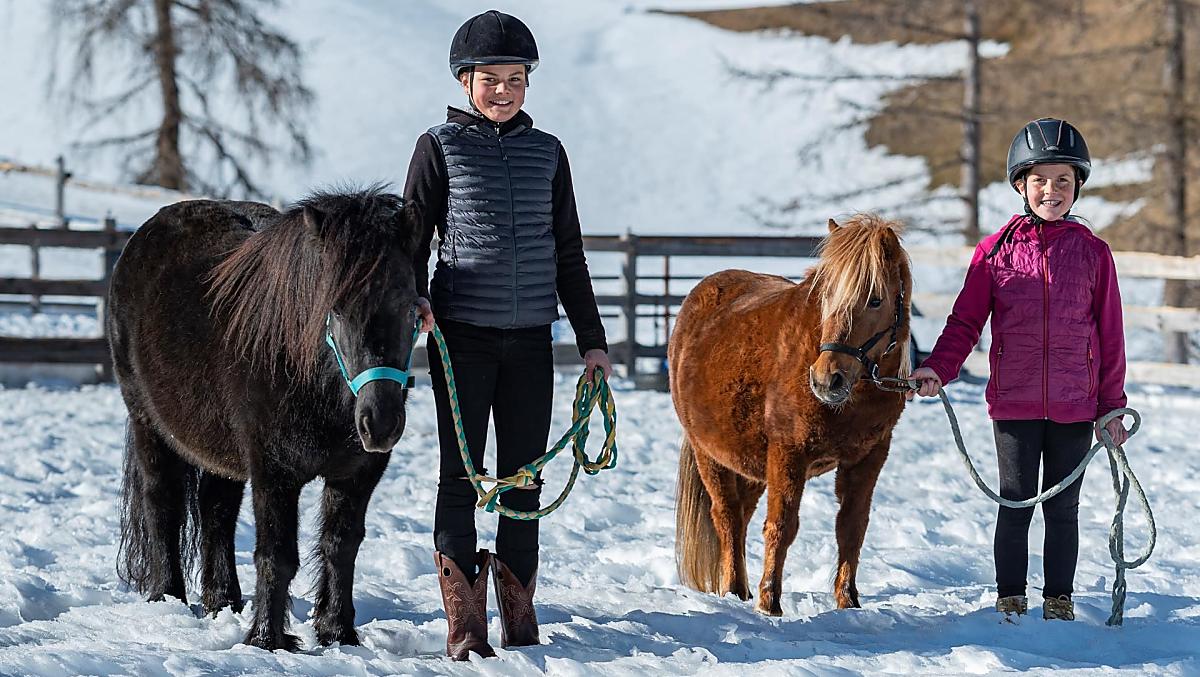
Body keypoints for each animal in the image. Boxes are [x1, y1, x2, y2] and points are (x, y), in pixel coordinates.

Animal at [107, 187, 423, 650]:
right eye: (337, 310)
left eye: (409, 308)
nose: (379, 423)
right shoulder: (274, 471)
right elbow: (276, 555)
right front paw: (267, 640)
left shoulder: (358, 472)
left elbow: (341, 546)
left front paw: (337, 633)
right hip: (148, 424)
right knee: (161, 503)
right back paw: (167, 598)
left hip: (217, 447)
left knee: (215, 511)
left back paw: (223, 601)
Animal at [670, 214, 912, 616]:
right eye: (826, 296)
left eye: (876, 299)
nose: (827, 379)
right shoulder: (788, 453)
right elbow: (781, 525)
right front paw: (770, 602)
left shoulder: (869, 457)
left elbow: (852, 527)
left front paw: (848, 601)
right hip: (710, 456)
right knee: (726, 517)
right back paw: (735, 589)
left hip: (749, 463)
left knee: (740, 519)